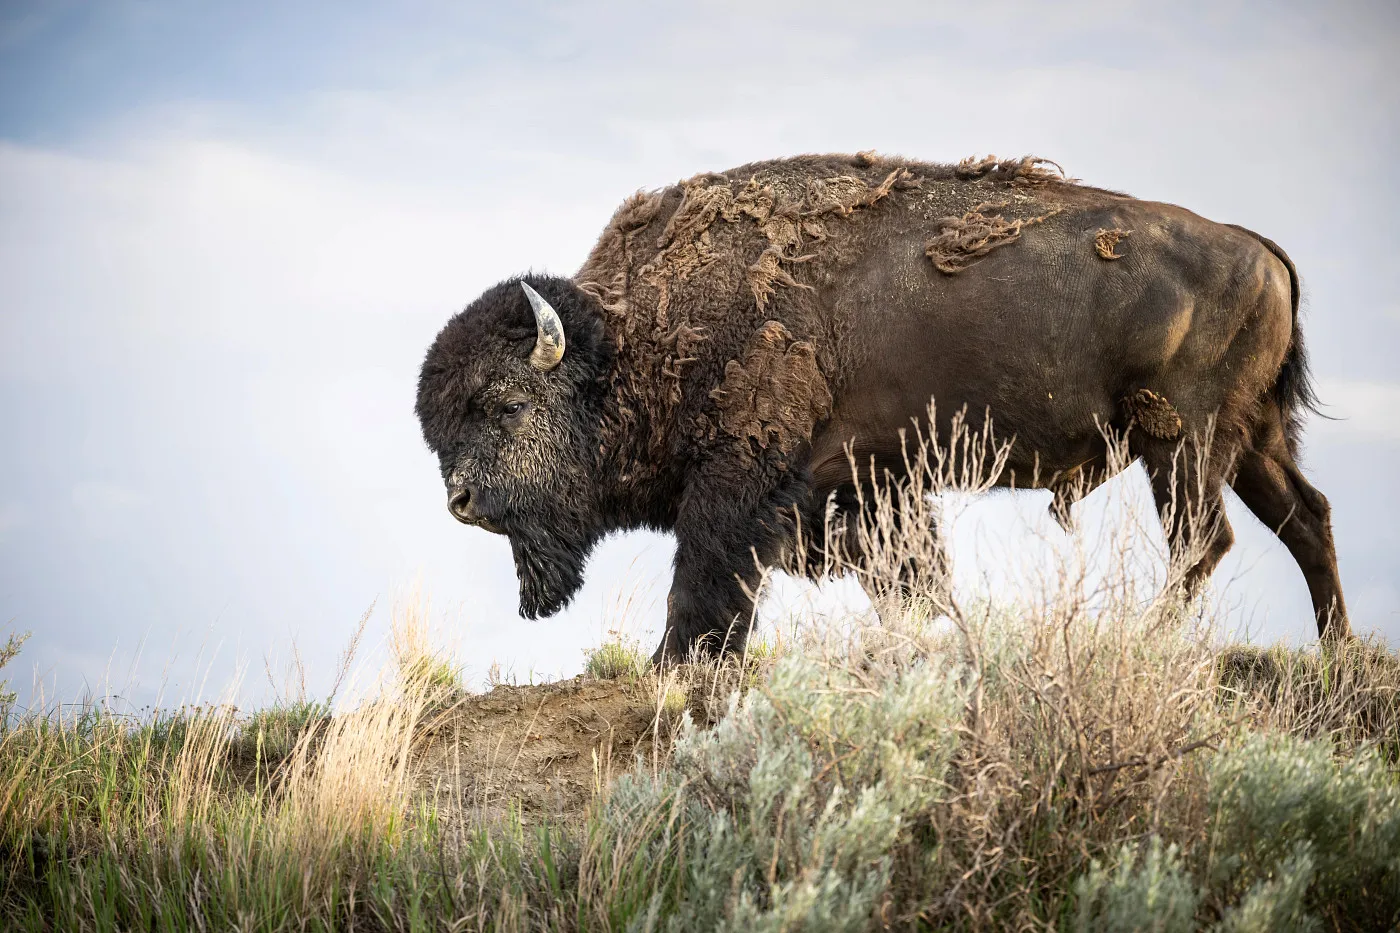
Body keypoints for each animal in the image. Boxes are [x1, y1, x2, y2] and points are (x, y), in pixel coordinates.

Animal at [415, 153, 1349, 662]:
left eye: (505, 404)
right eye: (439, 429)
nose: (459, 501)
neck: (635, 336)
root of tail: (1258, 248)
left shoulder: (741, 485)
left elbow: (705, 584)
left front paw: (671, 667)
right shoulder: (868, 489)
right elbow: (915, 581)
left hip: (1181, 441)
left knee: (1205, 539)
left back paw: (1143, 640)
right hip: (1252, 440)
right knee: (1306, 518)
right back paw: (1338, 651)